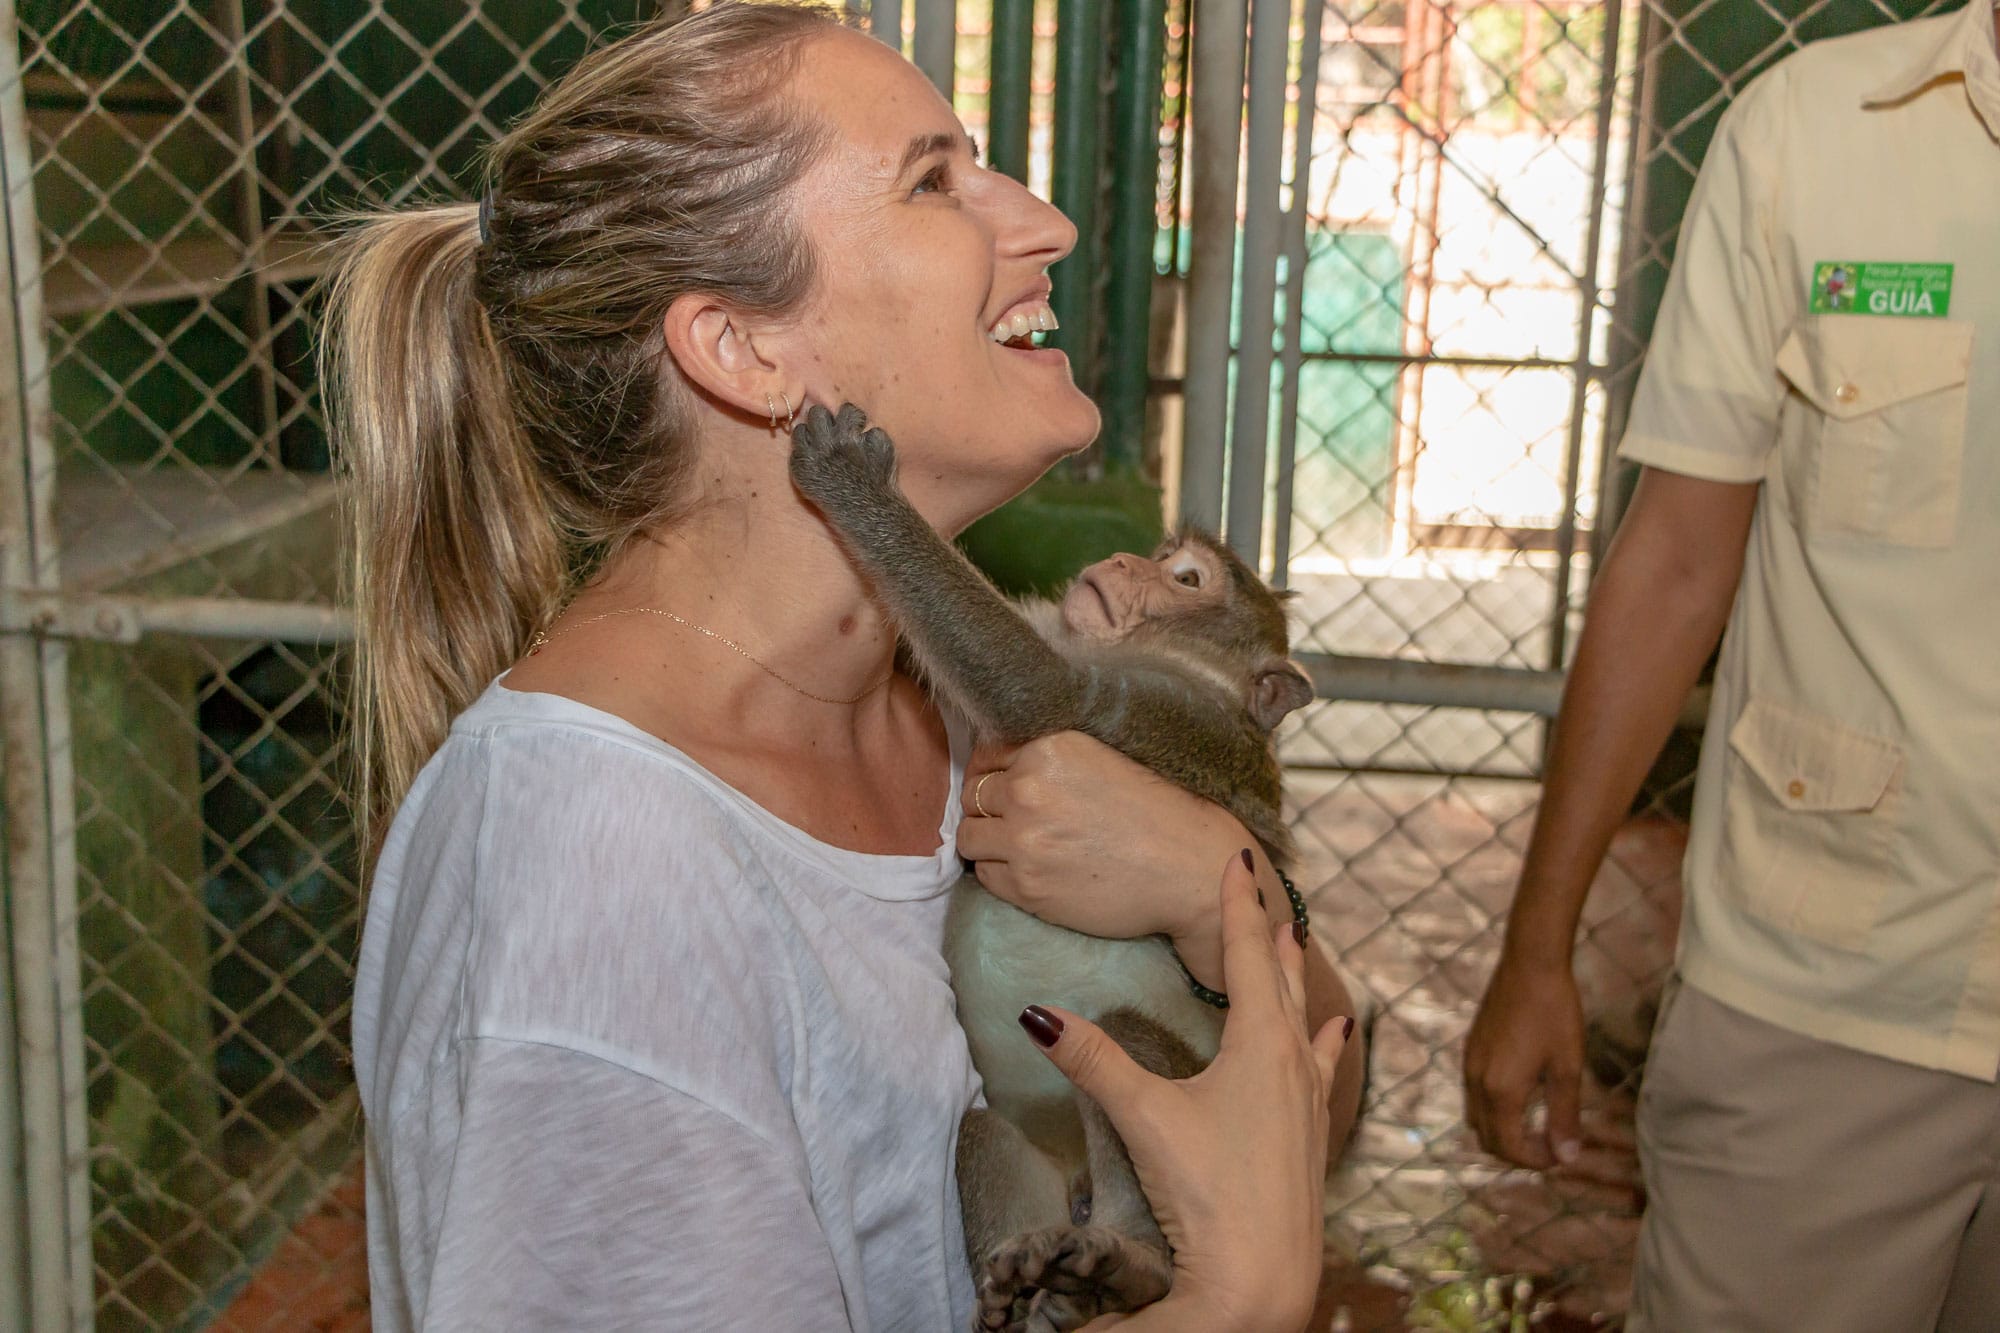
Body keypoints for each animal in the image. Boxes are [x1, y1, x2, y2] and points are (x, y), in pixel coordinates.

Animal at [788, 404, 1320, 1328]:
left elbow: (1045, 696)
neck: (1187, 665)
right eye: (1164, 555)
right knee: (978, 1133)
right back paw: (1032, 1284)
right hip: (1036, 1151)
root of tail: (1081, 1183)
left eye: (1186, 578)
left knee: (1126, 1034)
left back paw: (1130, 1267)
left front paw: (857, 488)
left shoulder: (1177, 714)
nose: (1126, 562)